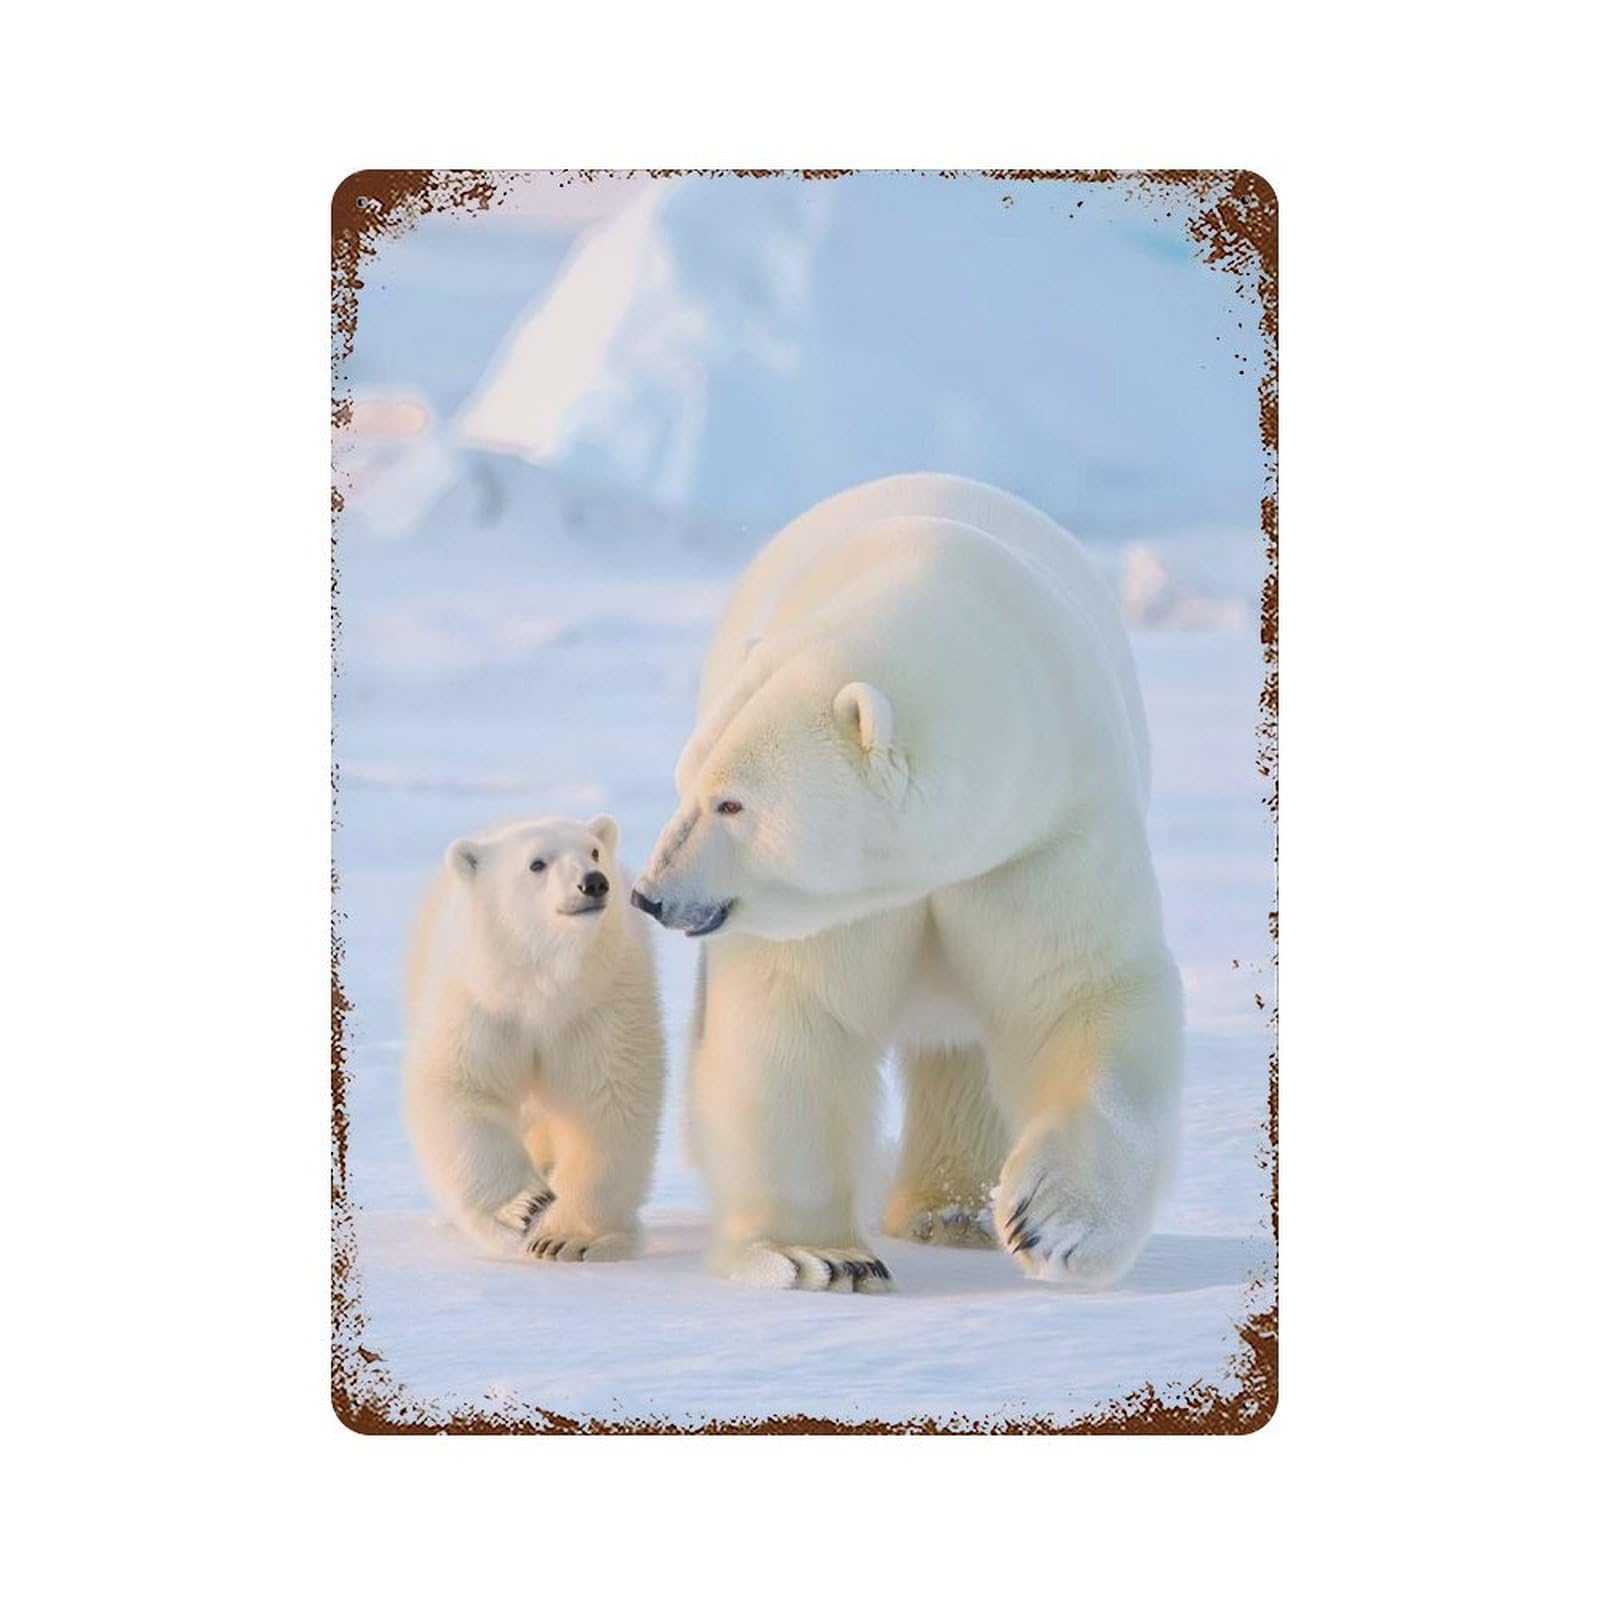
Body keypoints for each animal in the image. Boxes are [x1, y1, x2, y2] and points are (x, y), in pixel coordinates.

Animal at [403, 814, 664, 1262]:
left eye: (594, 851)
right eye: (537, 864)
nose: (593, 882)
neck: (542, 986)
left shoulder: (598, 1004)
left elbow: (608, 1100)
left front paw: (567, 1239)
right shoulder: (482, 1003)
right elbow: (461, 1088)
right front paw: (524, 1206)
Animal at [631, 473, 1182, 1292]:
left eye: (732, 802)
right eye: (686, 782)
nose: (651, 893)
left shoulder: (1043, 833)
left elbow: (1078, 988)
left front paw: (1051, 1221)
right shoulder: (834, 905)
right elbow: (791, 1016)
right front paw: (817, 1255)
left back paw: (956, 1215)